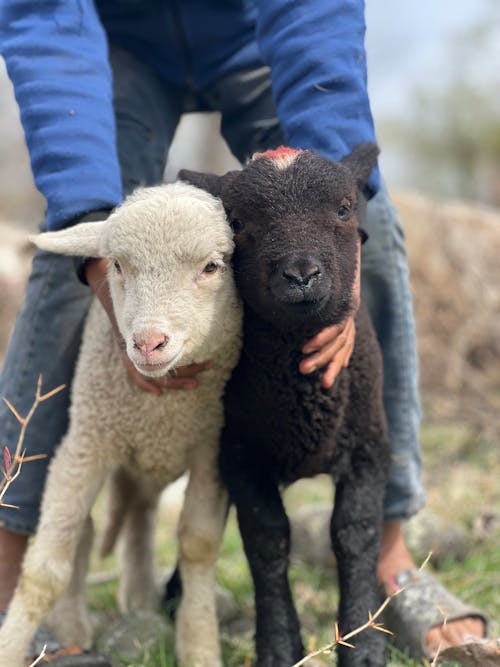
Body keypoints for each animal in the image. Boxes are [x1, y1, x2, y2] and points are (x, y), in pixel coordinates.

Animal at [0, 183, 242, 667]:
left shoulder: (212, 449)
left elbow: (199, 547)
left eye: (212, 266)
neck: (162, 406)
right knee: (91, 530)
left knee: (141, 515)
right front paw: (10, 646)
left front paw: (200, 645)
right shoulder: (87, 442)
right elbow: (43, 571)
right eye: (116, 265)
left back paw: (140, 597)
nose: (148, 343)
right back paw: (73, 627)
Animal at [181, 145, 390, 667]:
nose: (301, 275)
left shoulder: (369, 447)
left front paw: (363, 645)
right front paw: (278, 645)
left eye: (344, 208)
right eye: (237, 221)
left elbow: (355, 533)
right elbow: (267, 539)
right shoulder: (238, 454)